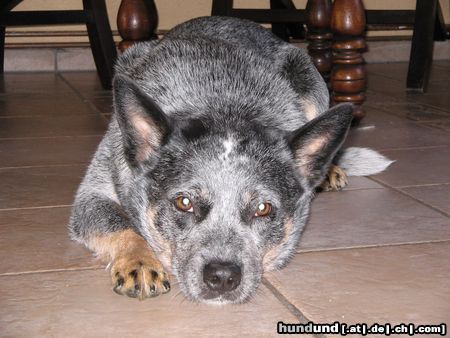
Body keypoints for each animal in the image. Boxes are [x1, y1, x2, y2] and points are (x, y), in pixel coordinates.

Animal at [67, 17, 394, 304]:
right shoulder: (94, 191)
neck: (223, 104)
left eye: (263, 208)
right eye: (184, 202)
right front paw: (140, 261)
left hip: (309, 77)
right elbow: (118, 221)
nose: (222, 276)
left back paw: (330, 170)